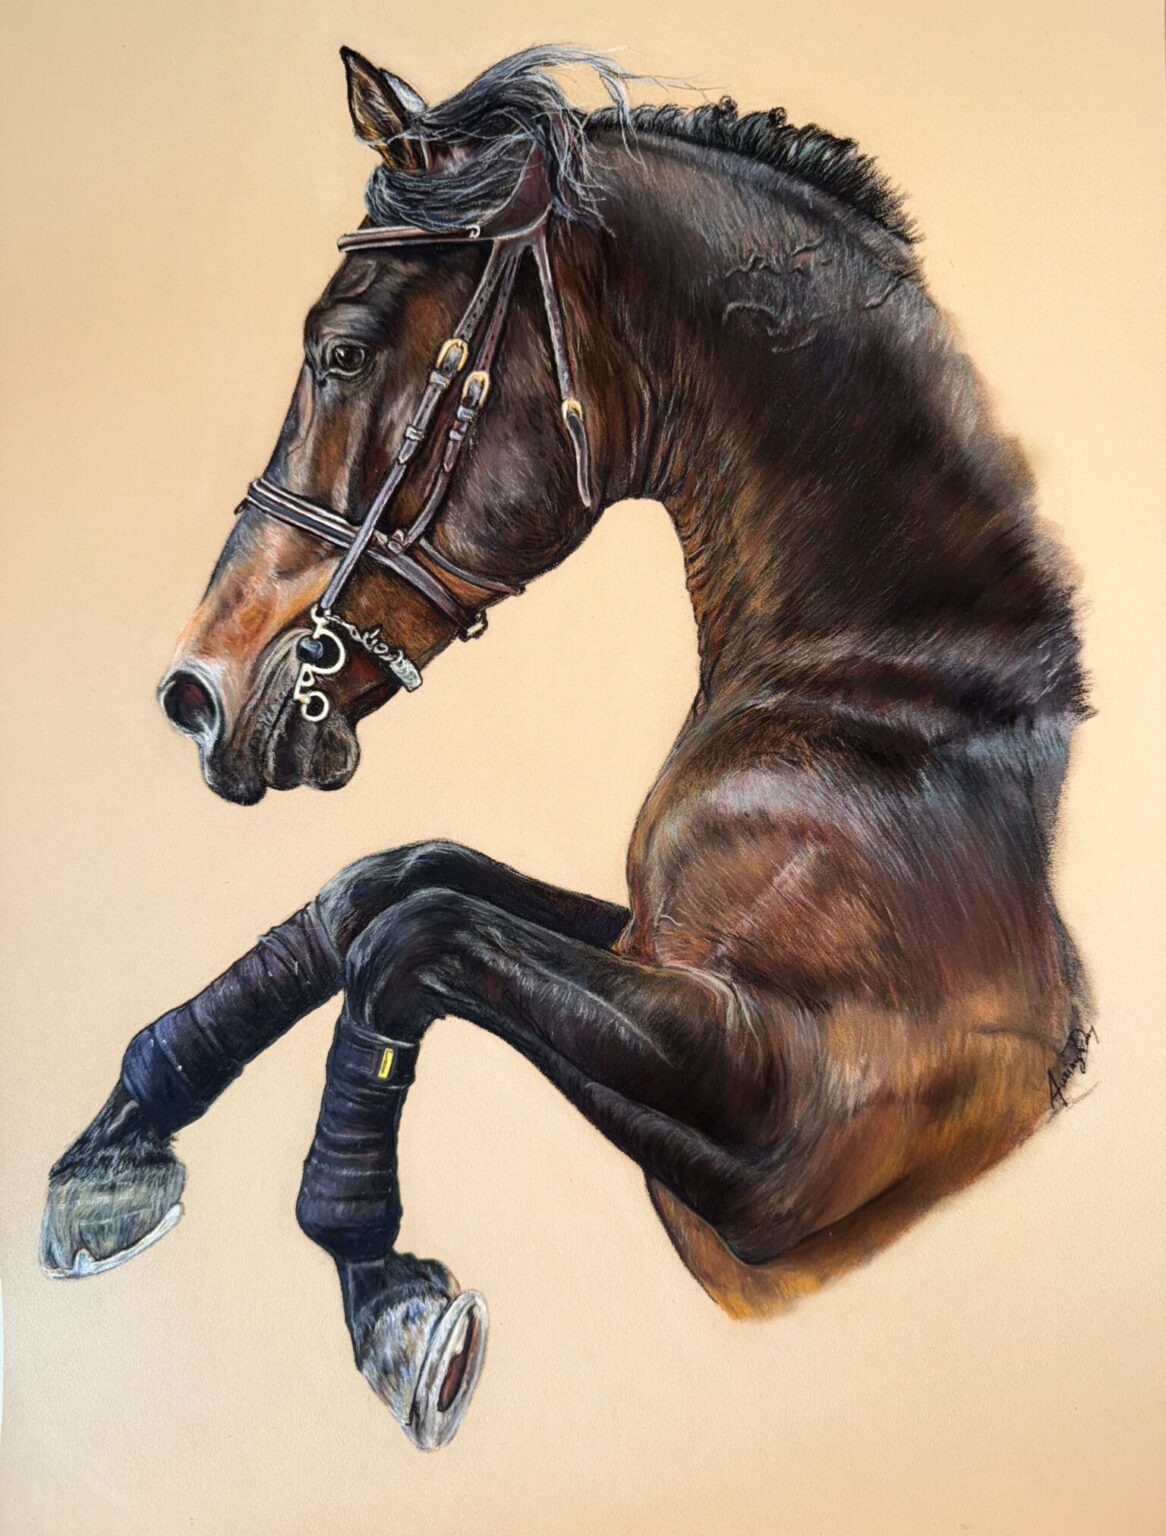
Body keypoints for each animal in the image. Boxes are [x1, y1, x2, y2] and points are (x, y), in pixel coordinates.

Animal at [41, 45, 1090, 1451]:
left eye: (341, 349)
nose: (195, 695)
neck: (885, 700)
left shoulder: (784, 1143)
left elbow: (415, 938)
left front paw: (386, 1293)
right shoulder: (647, 953)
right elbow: (391, 884)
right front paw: (118, 1146)